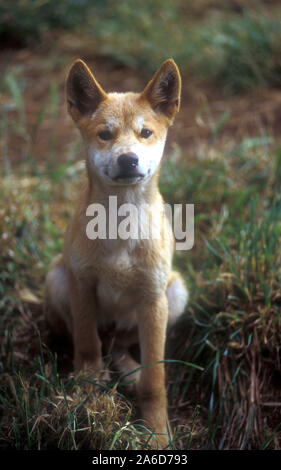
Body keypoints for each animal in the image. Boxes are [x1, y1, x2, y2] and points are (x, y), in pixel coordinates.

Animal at [43, 58, 188, 448]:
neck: (120, 229)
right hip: (57, 277)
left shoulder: (153, 297)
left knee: (121, 346)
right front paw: (85, 398)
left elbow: (155, 381)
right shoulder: (81, 283)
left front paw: (157, 432)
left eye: (145, 133)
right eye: (105, 135)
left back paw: (128, 372)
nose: (128, 159)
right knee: (96, 340)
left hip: (174, 293)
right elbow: (86, 345)